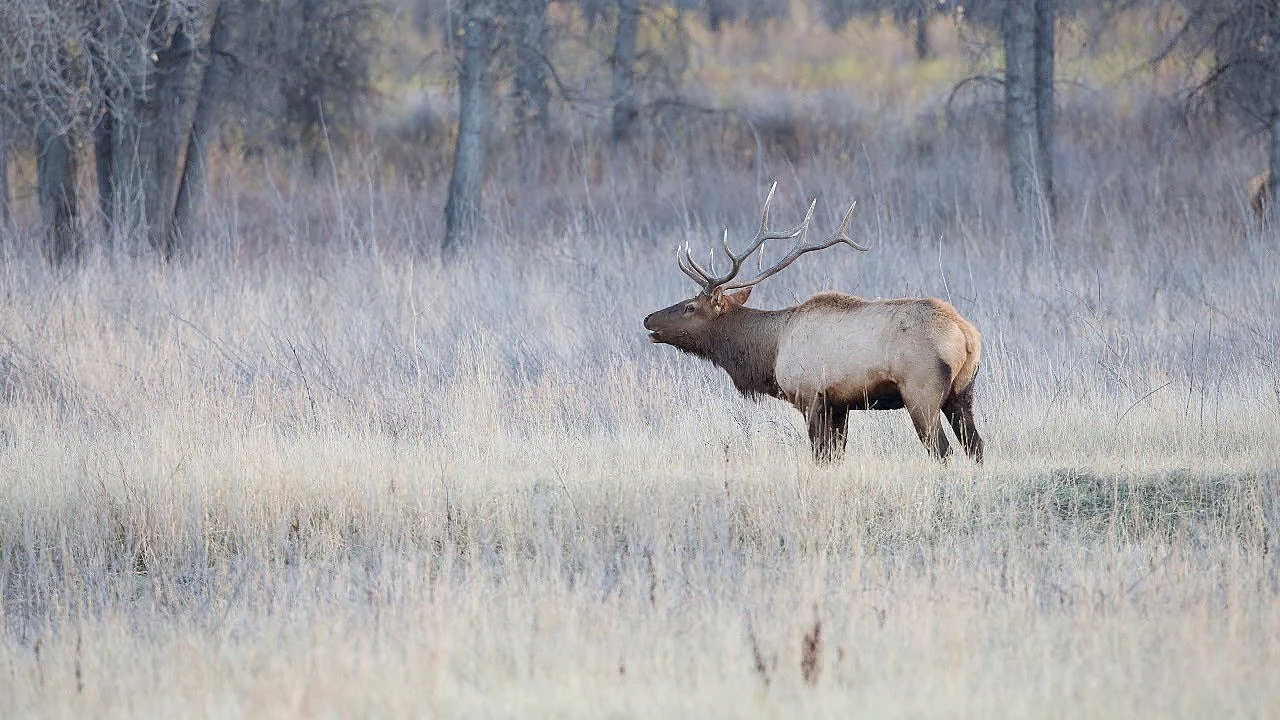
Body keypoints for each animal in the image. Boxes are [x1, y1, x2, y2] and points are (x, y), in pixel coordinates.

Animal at [643, 183, 984, 462]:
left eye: (689, 307)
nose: (648, 318)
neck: (770, 351)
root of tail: (967, 336)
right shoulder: (840, 404)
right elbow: (836, 455)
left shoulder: (809, 396)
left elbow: (820, 454)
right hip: (962, 393)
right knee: (976, 446)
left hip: (921, 391)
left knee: (942, 450)